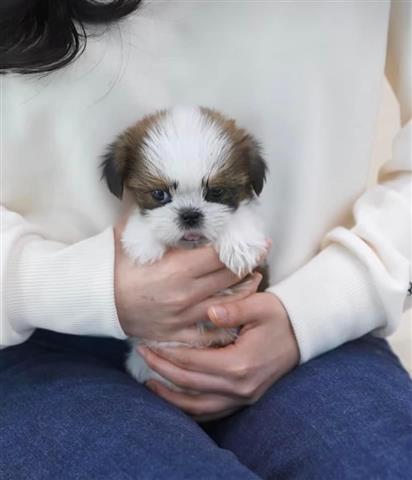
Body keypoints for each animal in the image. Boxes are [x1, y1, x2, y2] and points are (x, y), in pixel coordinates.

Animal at [101, 106, 268, 386]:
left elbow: (243, 213)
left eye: (216, 192)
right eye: (159, 194)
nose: (190, 214)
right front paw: (143, 240)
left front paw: (239, 244)